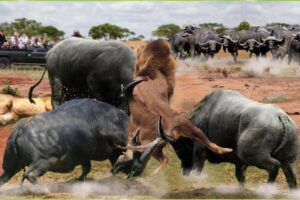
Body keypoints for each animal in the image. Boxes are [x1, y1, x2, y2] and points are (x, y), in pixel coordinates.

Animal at [169, 90, 298, 190]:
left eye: (180, 148)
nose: (184, 171)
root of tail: (281, 116)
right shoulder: (239, 163)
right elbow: (240, 177)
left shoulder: (200, 148)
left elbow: (197, 170)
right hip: (288, 160)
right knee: (291, 175)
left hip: (252, 155)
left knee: (274, 166)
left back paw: (267, 191)